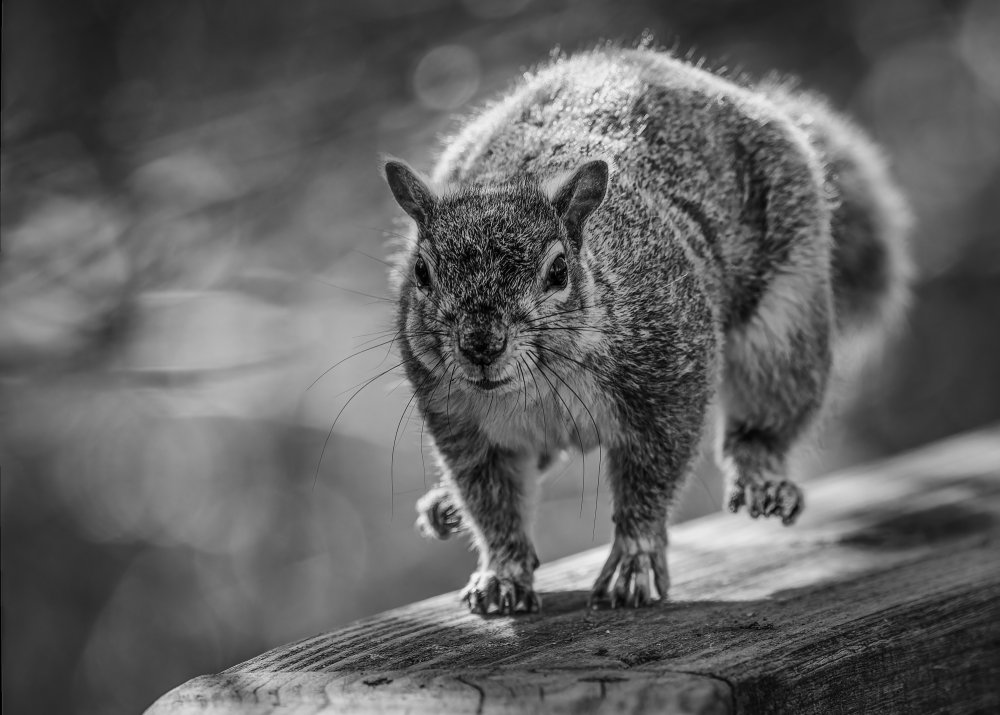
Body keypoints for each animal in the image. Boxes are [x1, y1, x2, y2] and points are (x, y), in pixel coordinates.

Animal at [382, 46, 911, 615]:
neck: (541, 380)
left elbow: (653, 476)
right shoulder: (462, 421)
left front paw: (632, 563)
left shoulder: (671, 379)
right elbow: (491, 500)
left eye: (559, 271)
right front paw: (503, 573)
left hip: (785, 324)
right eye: (421, 273)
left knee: (770, 412)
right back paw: (445, 503)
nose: (481, 345)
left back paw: (761, 474)